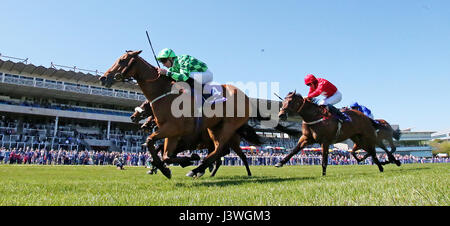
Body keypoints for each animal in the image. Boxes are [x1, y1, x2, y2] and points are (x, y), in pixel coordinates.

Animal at [100, 50, 258, 179]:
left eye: (122, 60)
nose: (103, 78)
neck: (165, 93)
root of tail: (246, 97)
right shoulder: (172, 134)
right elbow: (165, 154)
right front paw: (168, 167)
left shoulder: (174, 130)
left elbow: (151, 142)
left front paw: (178, 163)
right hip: (214, 128)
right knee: (219, 152)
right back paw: (200, 169)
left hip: (228, 127)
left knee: (222, 151)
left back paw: (198, 170)